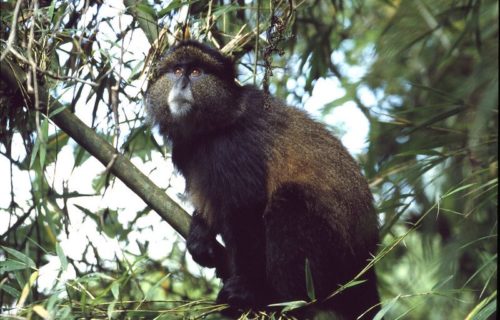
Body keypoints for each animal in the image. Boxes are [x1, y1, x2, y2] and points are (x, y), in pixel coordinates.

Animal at [146, 41, 380, 318]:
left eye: (195, 72)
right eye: (177, 70)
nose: (181, 84)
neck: (212, 125)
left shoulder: (233, 149)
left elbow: (247, 213)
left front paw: (248, 289)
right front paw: (200, 233)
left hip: (335, 257)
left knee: (289, 201)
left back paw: (279, 299)